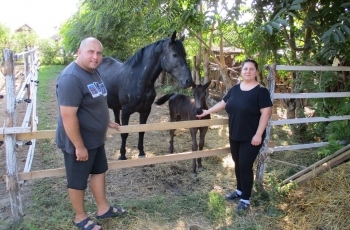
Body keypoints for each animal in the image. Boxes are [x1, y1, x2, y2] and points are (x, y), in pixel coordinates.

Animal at [97, 31, 193, 159]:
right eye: (174, 55)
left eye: (185, 54)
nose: (188, 81)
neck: (138, 78)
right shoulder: (126, 112)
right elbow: (125, 133)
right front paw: (122, 155)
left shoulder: (145, 110)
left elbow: (141, 131)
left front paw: (141, 152)